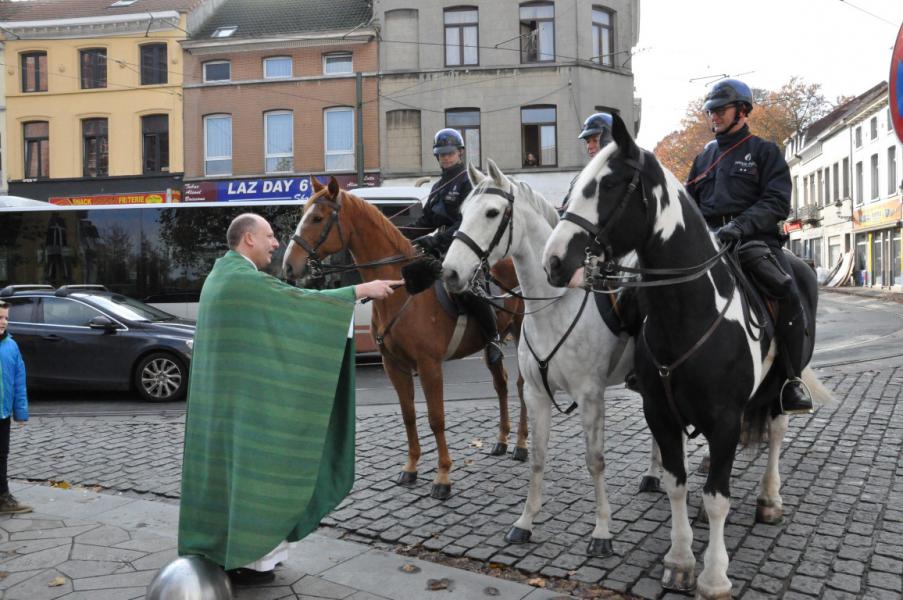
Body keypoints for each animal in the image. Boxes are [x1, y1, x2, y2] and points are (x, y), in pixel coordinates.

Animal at [278, 176, 528, 500]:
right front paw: (411, 467)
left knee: (523, 386)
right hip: (490, 343)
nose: (288, 266)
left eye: (317, 218)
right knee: (501, 383)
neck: (403, 288)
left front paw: (443, 476)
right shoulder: (393, 365)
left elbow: (436, 418)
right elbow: (408, 414)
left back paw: (521, 444)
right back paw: (502, 439)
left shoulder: (429, 366)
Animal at [444, 159, 664, 556]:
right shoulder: (536, 394)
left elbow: (595, 461)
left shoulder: (590, 397)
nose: (450, 272)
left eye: (492, 212)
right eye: (462, 213)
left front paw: (602, 531)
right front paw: (524, 523)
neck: (554, 306)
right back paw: (654, 475)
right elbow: (537, 457)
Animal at [544, 115, 832, 596]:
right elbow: (677, 483)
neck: (690, 311)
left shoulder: (725, 417)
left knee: (775, 432)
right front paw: (680, 560)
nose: (553, 261)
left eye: (609, 183)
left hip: (780, 385)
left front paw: (714, 576)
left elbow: (717, 497)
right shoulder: (660, 414)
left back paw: (770, 499)